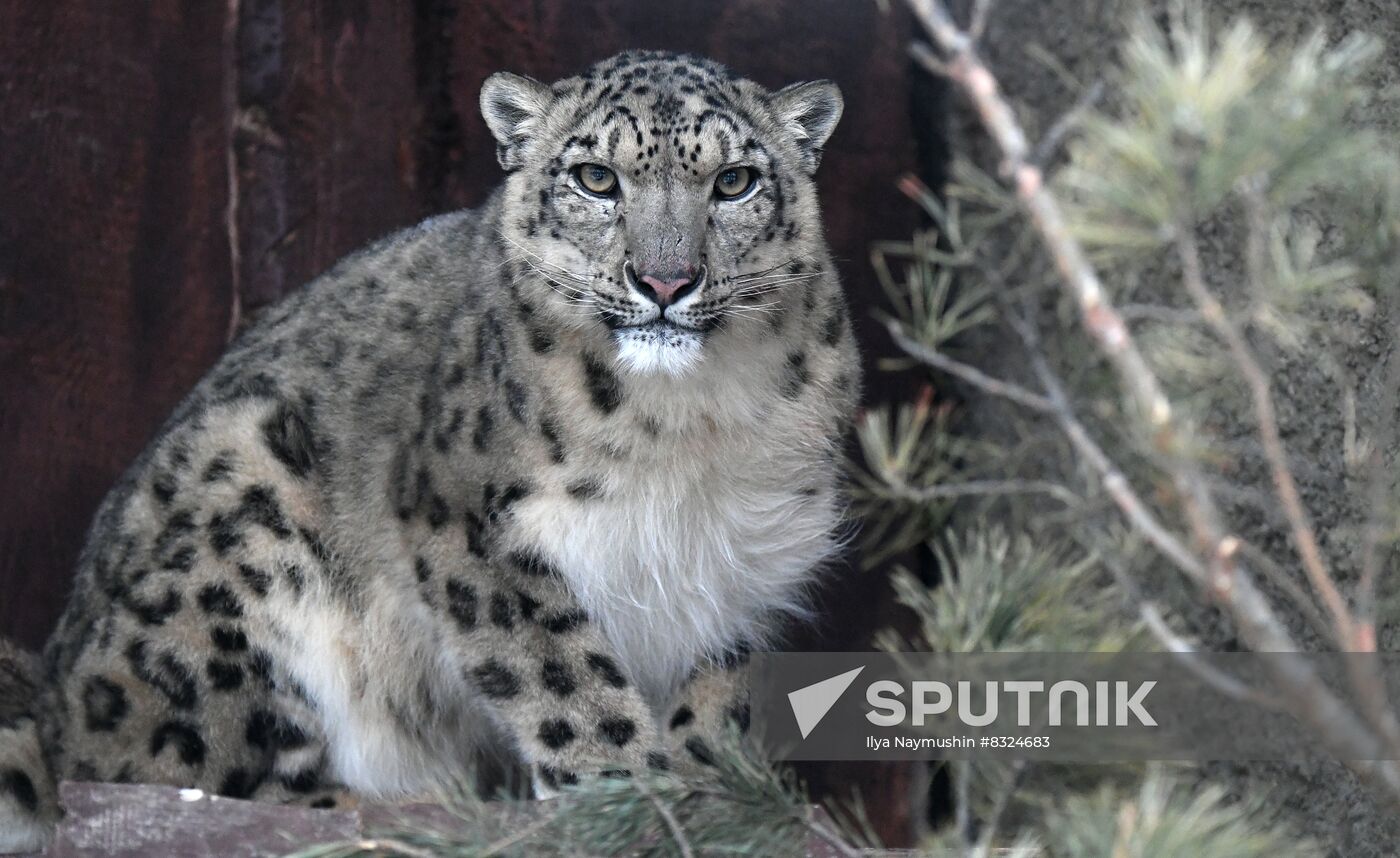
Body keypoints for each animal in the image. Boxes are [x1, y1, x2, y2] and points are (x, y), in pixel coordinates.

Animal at [0, 49, 858, 852]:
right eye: (596, 178)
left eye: (735, 181)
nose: (667, 281)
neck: (686, 428)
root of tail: (55, 683)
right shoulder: (469, 522)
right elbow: (565, 675)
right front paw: (628, 790)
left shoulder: (741, 558)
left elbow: (711, 693)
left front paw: (710, 793)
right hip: (239, 517)